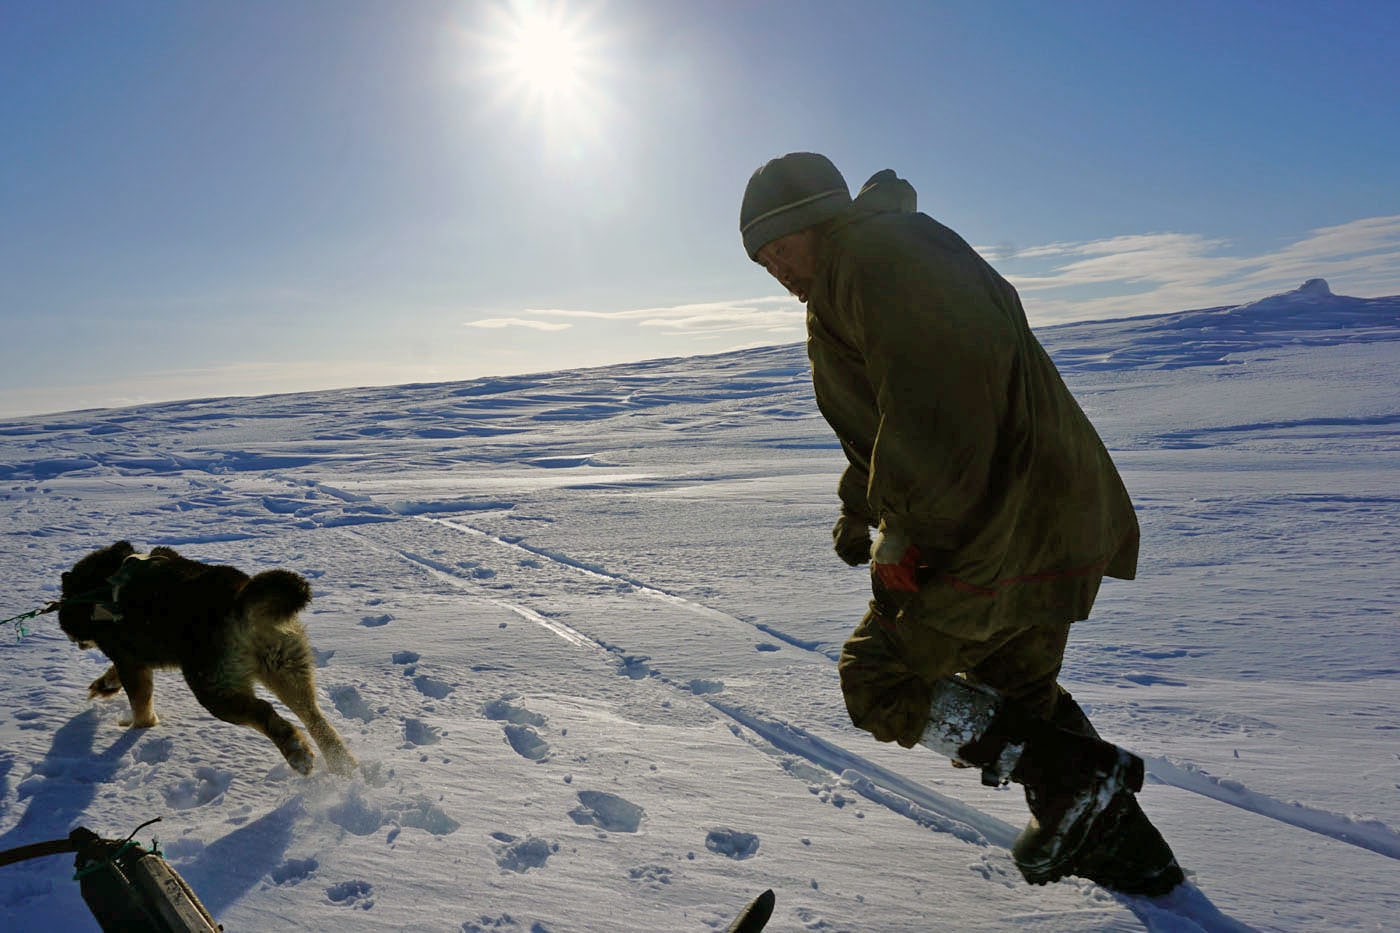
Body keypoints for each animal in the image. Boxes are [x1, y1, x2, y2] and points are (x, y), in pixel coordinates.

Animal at [59, 540, 355, 773]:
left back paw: (297, 752)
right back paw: (342, 763)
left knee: (264, 712)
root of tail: (240, 600)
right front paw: (106, 684)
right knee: (313, 716)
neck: (96, 586)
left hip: (213, 687)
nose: (76, 643)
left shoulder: (128, 660)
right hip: (286, 665)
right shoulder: (134, 659)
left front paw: (139, 728)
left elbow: (141, 704)